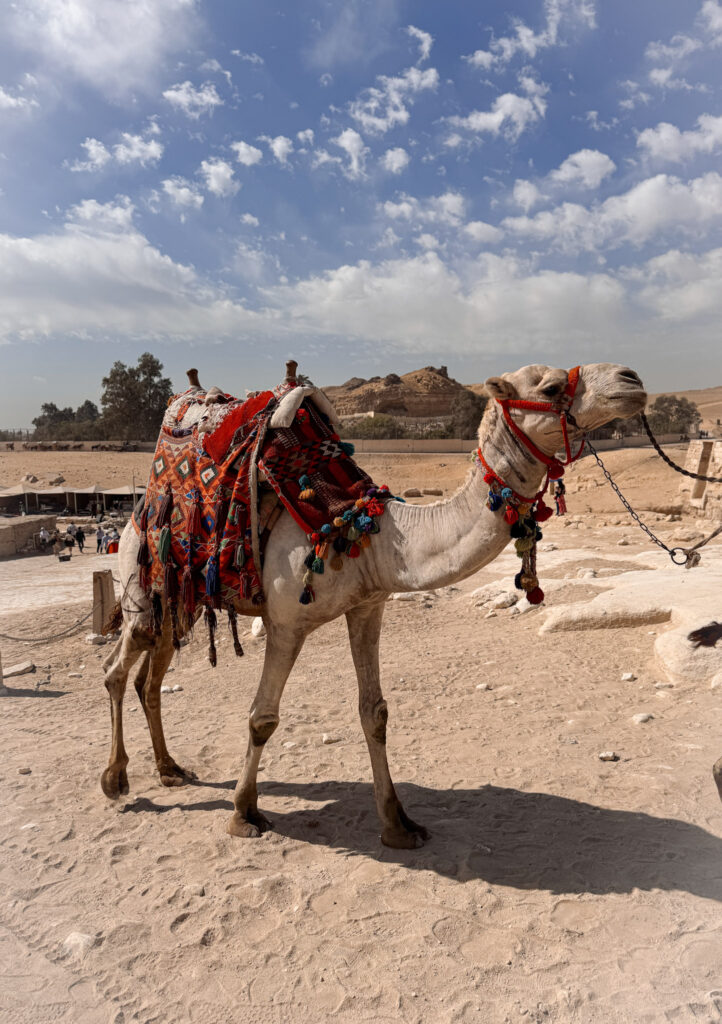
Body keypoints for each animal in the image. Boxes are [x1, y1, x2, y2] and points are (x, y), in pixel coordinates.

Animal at [101, 361, 646, 848]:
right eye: (550, 387)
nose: (632, 380)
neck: (369, 531)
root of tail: (133, 514)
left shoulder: (368, 606)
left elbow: (374, 713)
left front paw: (398, 825)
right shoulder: (286, 622)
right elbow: (262, 718)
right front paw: (243, 814)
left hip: (180, 597)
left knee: (151, 675)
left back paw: (169, 769)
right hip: (139, 578)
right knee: (118, 669)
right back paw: (116, 780)